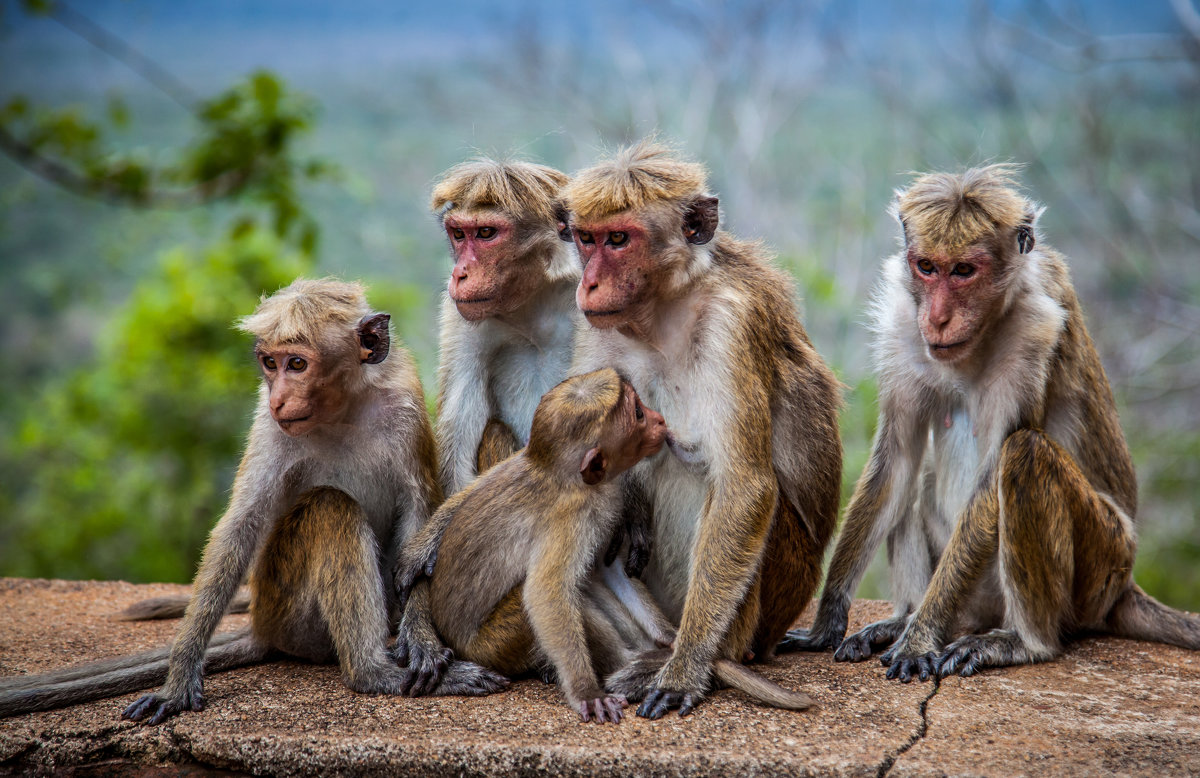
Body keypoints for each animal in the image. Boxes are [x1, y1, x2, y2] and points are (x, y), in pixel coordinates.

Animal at [0, 279, 504, 725]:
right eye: (269, 363)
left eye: (297, 363)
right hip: (289, 609)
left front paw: (421, 639)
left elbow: (417, 513)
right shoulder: (268, 423)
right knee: (329, 506)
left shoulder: (403, 406)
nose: (280, 397)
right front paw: (179, 677)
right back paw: (373, 674)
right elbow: (242, 525)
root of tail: (263, 623)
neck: (342, 410)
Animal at [396, 369, 816, 725]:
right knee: (567, 597)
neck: (563, 475)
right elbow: (547, 593)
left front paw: (672, 636)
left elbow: (606, 569)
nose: (659, 419)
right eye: (638, 414)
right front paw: (588, 693)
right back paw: (628, 667)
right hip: (492, 644)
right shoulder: (573, 519)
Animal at [561, 141, 844, 715]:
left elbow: (745, 487)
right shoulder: (599, 330)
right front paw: (629, 510)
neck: (663, 312)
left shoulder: (732, 327)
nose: (589, 282)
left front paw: (687, 667)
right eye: (586, 239)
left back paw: (694, 657)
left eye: (619, 239)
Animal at [777, 164, 1200, 681]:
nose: (938, 319)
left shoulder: (1031, 333)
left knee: (1025, 455)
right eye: (926, 267)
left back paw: (1022, 641)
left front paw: (921, 636)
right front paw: (827, 624)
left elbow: (993, 474)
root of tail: (1125, 585)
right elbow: (897, 461)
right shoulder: (903, 325)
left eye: (964, 271)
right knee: (916, 481)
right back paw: (903, 617)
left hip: (1102, 565)